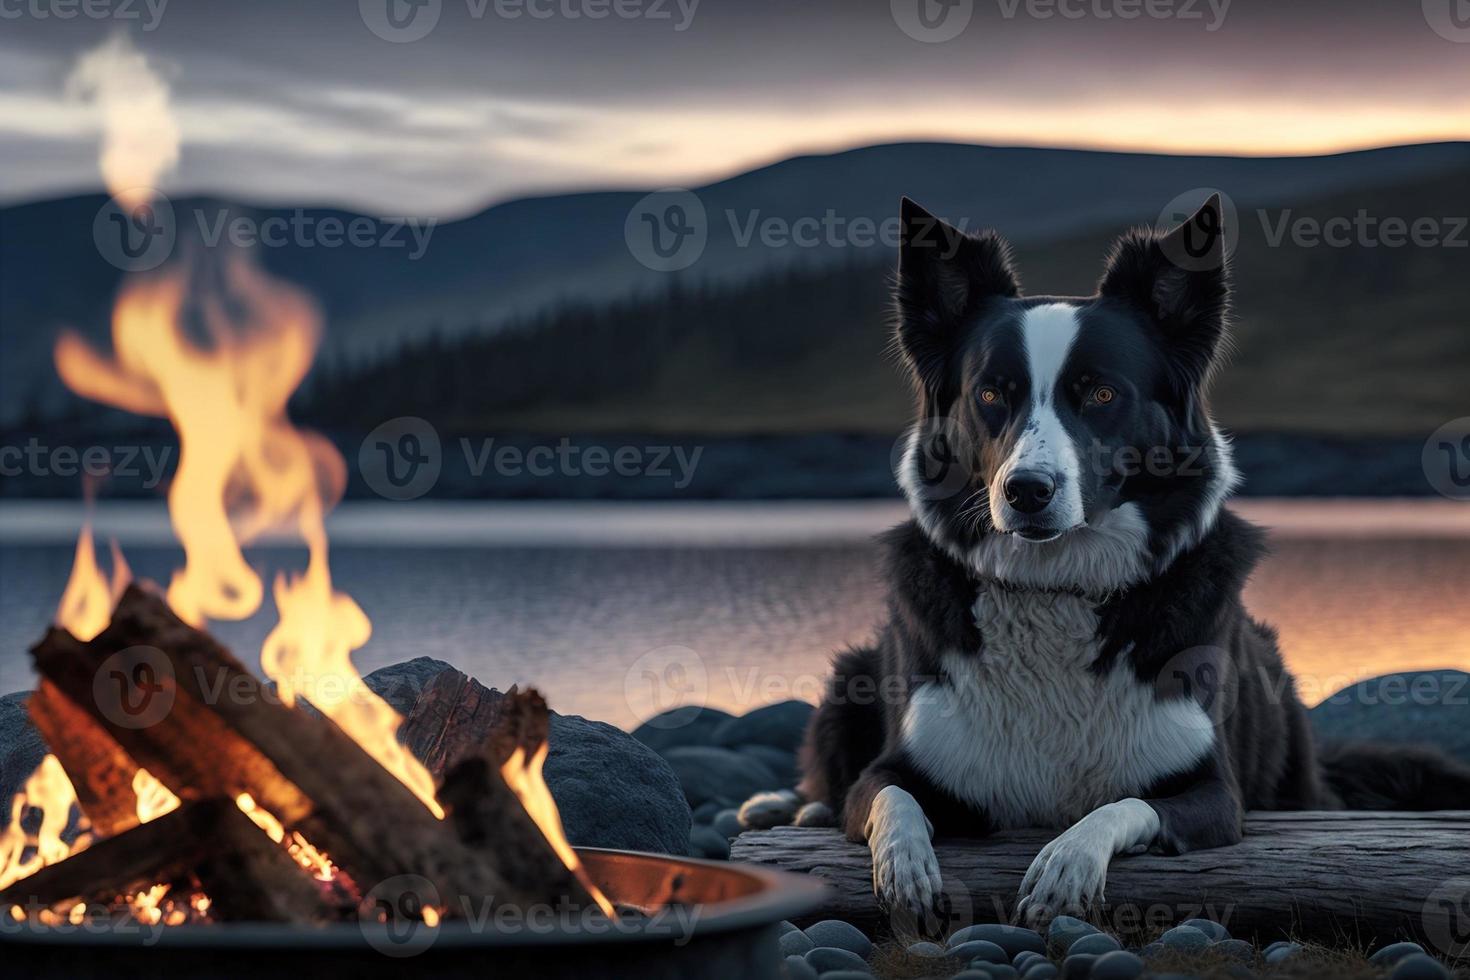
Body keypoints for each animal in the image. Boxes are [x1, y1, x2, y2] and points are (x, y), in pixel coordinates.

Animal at [764, 195, 1470, 934]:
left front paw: (1067, 864)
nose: (1026, 491)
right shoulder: (895, 765)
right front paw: (904, 868)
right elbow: (889, 799)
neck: (1056, 586)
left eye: (1100, 395)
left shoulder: (1214, 793)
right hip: (850, 674)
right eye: (991, 394)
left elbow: (1122, 806)